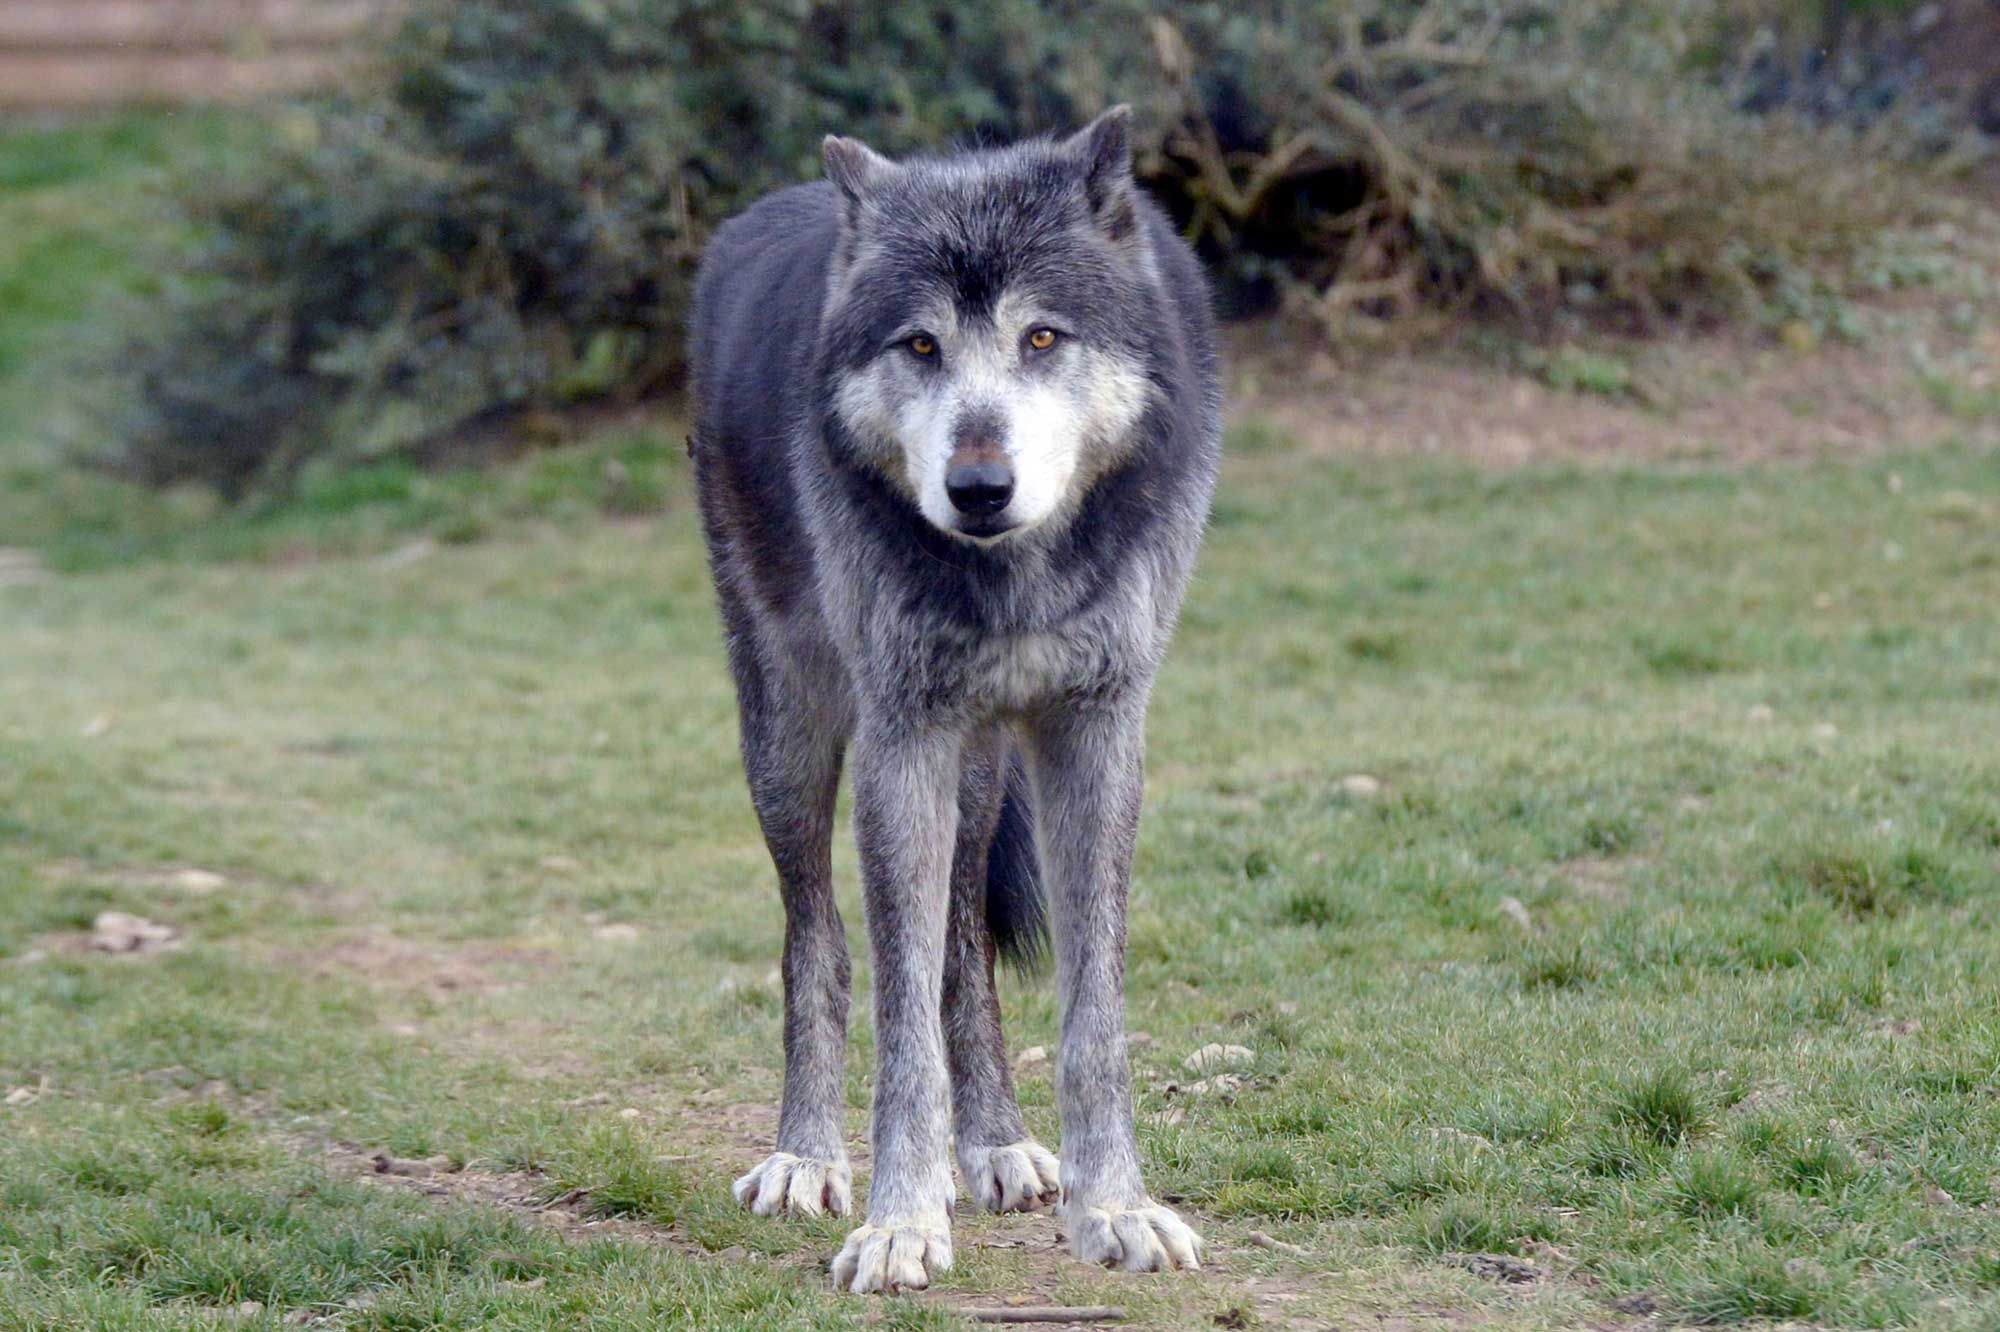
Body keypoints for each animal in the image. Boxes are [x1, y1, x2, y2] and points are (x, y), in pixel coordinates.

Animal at [688, 109, 1216, 1288]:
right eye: (920, 346)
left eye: (1042, 339)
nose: (978, 489)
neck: (1014, 576)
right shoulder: (903, 739)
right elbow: (896, 1027)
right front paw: (898, 1222)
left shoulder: (1096, 735)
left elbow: (1092, 1018)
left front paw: (1117, 1208)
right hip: (787, 735)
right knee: (819, 942)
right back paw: (806, 1156)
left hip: (980, 772)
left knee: (963, 952)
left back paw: (994, 1144)